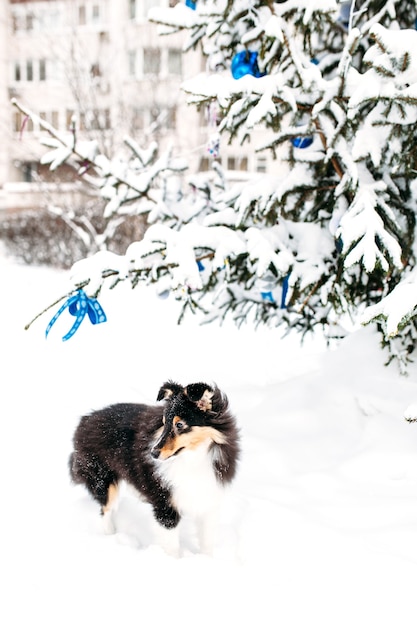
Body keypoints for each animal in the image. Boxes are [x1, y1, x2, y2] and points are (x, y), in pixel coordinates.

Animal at [67, 378, 237, 552]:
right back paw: (111, 536)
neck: (193, 458)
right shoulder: (165, 505)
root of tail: (86, 419)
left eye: (179, 425)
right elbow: (172, 547)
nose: (153, 453)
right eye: (164, 423)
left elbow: (207, 543)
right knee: (105, 511)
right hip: (103, 480)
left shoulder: (208, 500)